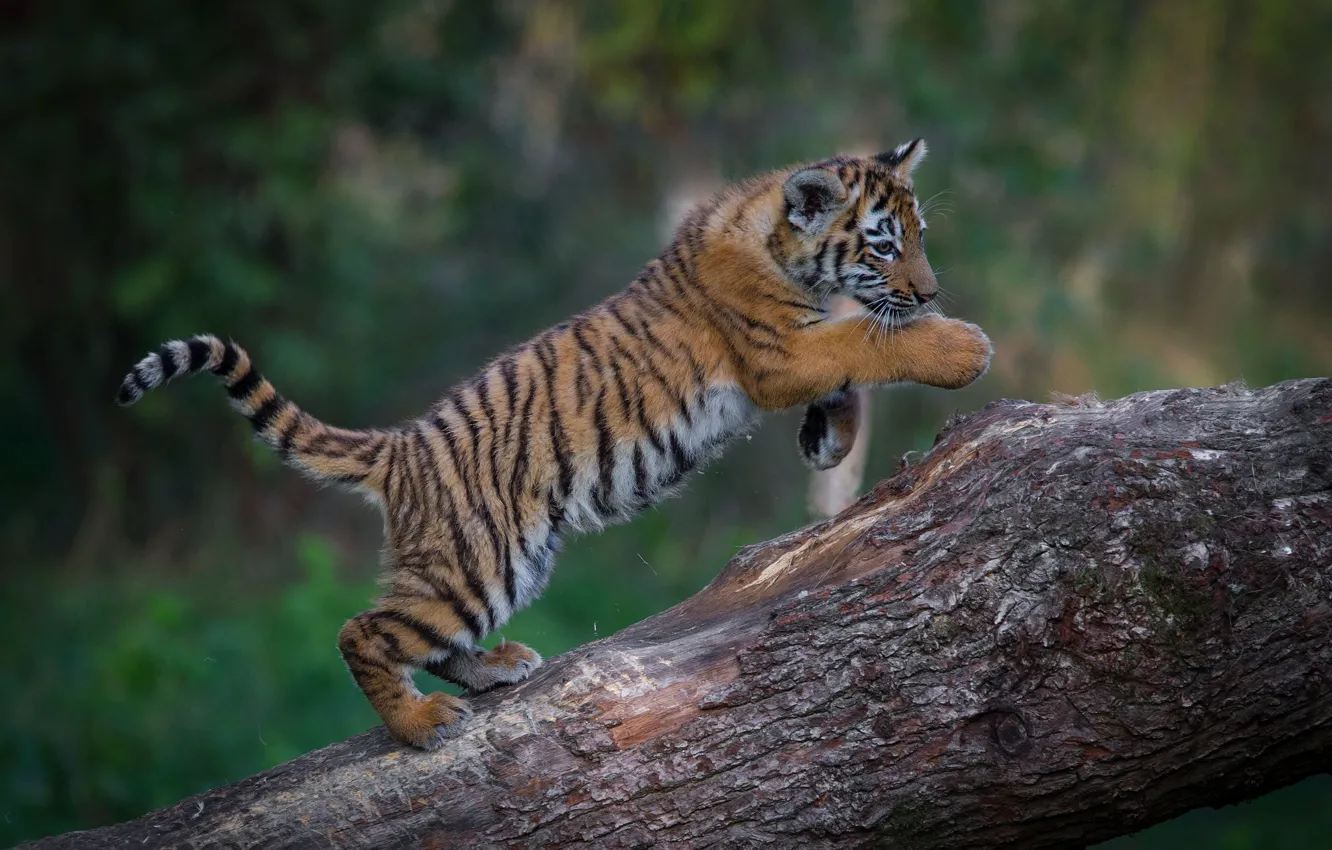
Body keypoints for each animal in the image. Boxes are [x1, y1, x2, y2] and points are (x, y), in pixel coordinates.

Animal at [116, 138, 992, 750]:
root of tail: (398, 448)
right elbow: (867, 341)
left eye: (919, 235)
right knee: (360, 632)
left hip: (503, 565)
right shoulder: (779, 354)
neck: (779, 246)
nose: (931, 291)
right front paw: (960, 348)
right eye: (885, 245)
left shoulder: (797, 351)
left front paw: (829, 442)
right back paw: (421, 725)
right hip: (473, 564)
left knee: (421, 635)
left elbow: (852, 363)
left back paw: (495, 668)